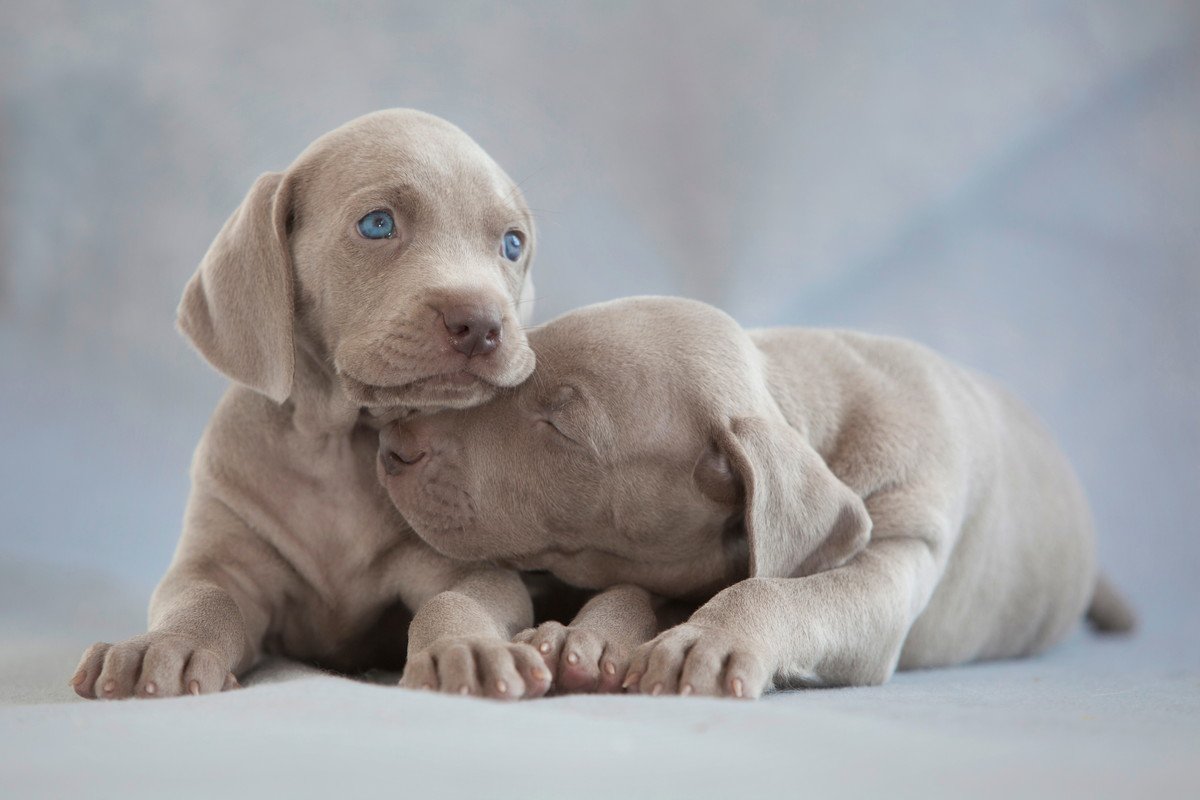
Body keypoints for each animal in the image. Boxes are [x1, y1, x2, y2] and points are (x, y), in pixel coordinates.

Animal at [77, 107, 554, 700]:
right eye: (377, 225)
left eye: (512, 244)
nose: (483, 324)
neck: (336, 445)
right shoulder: (219, 559)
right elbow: (204, 598)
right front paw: (162, 647)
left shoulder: (471, 565)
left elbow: (456, 598)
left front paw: (467, 649)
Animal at [376, 296, 1132, 700]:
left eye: (561, 425)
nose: (392, 442)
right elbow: (627, 590)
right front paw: (576, 637)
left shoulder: (901, 544)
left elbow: (779, 589)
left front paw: (707, 638)